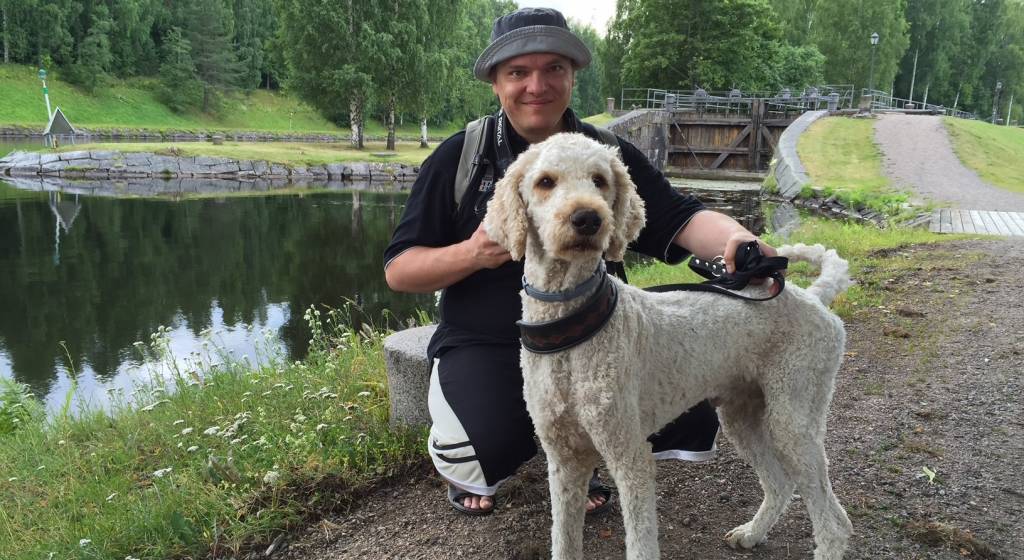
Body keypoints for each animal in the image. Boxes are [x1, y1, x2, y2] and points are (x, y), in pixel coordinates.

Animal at [483, 135, 851, 560]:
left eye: (599, 180)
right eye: (545, 181)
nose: (587, 219)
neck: (573, 331)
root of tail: (814, 296)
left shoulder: (629, 455)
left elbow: (641, 543)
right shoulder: (564, 459)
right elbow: (563, 539)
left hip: (795, 416)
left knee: (832, 518)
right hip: (743, 414)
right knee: (780, 483)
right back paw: (751, 533)